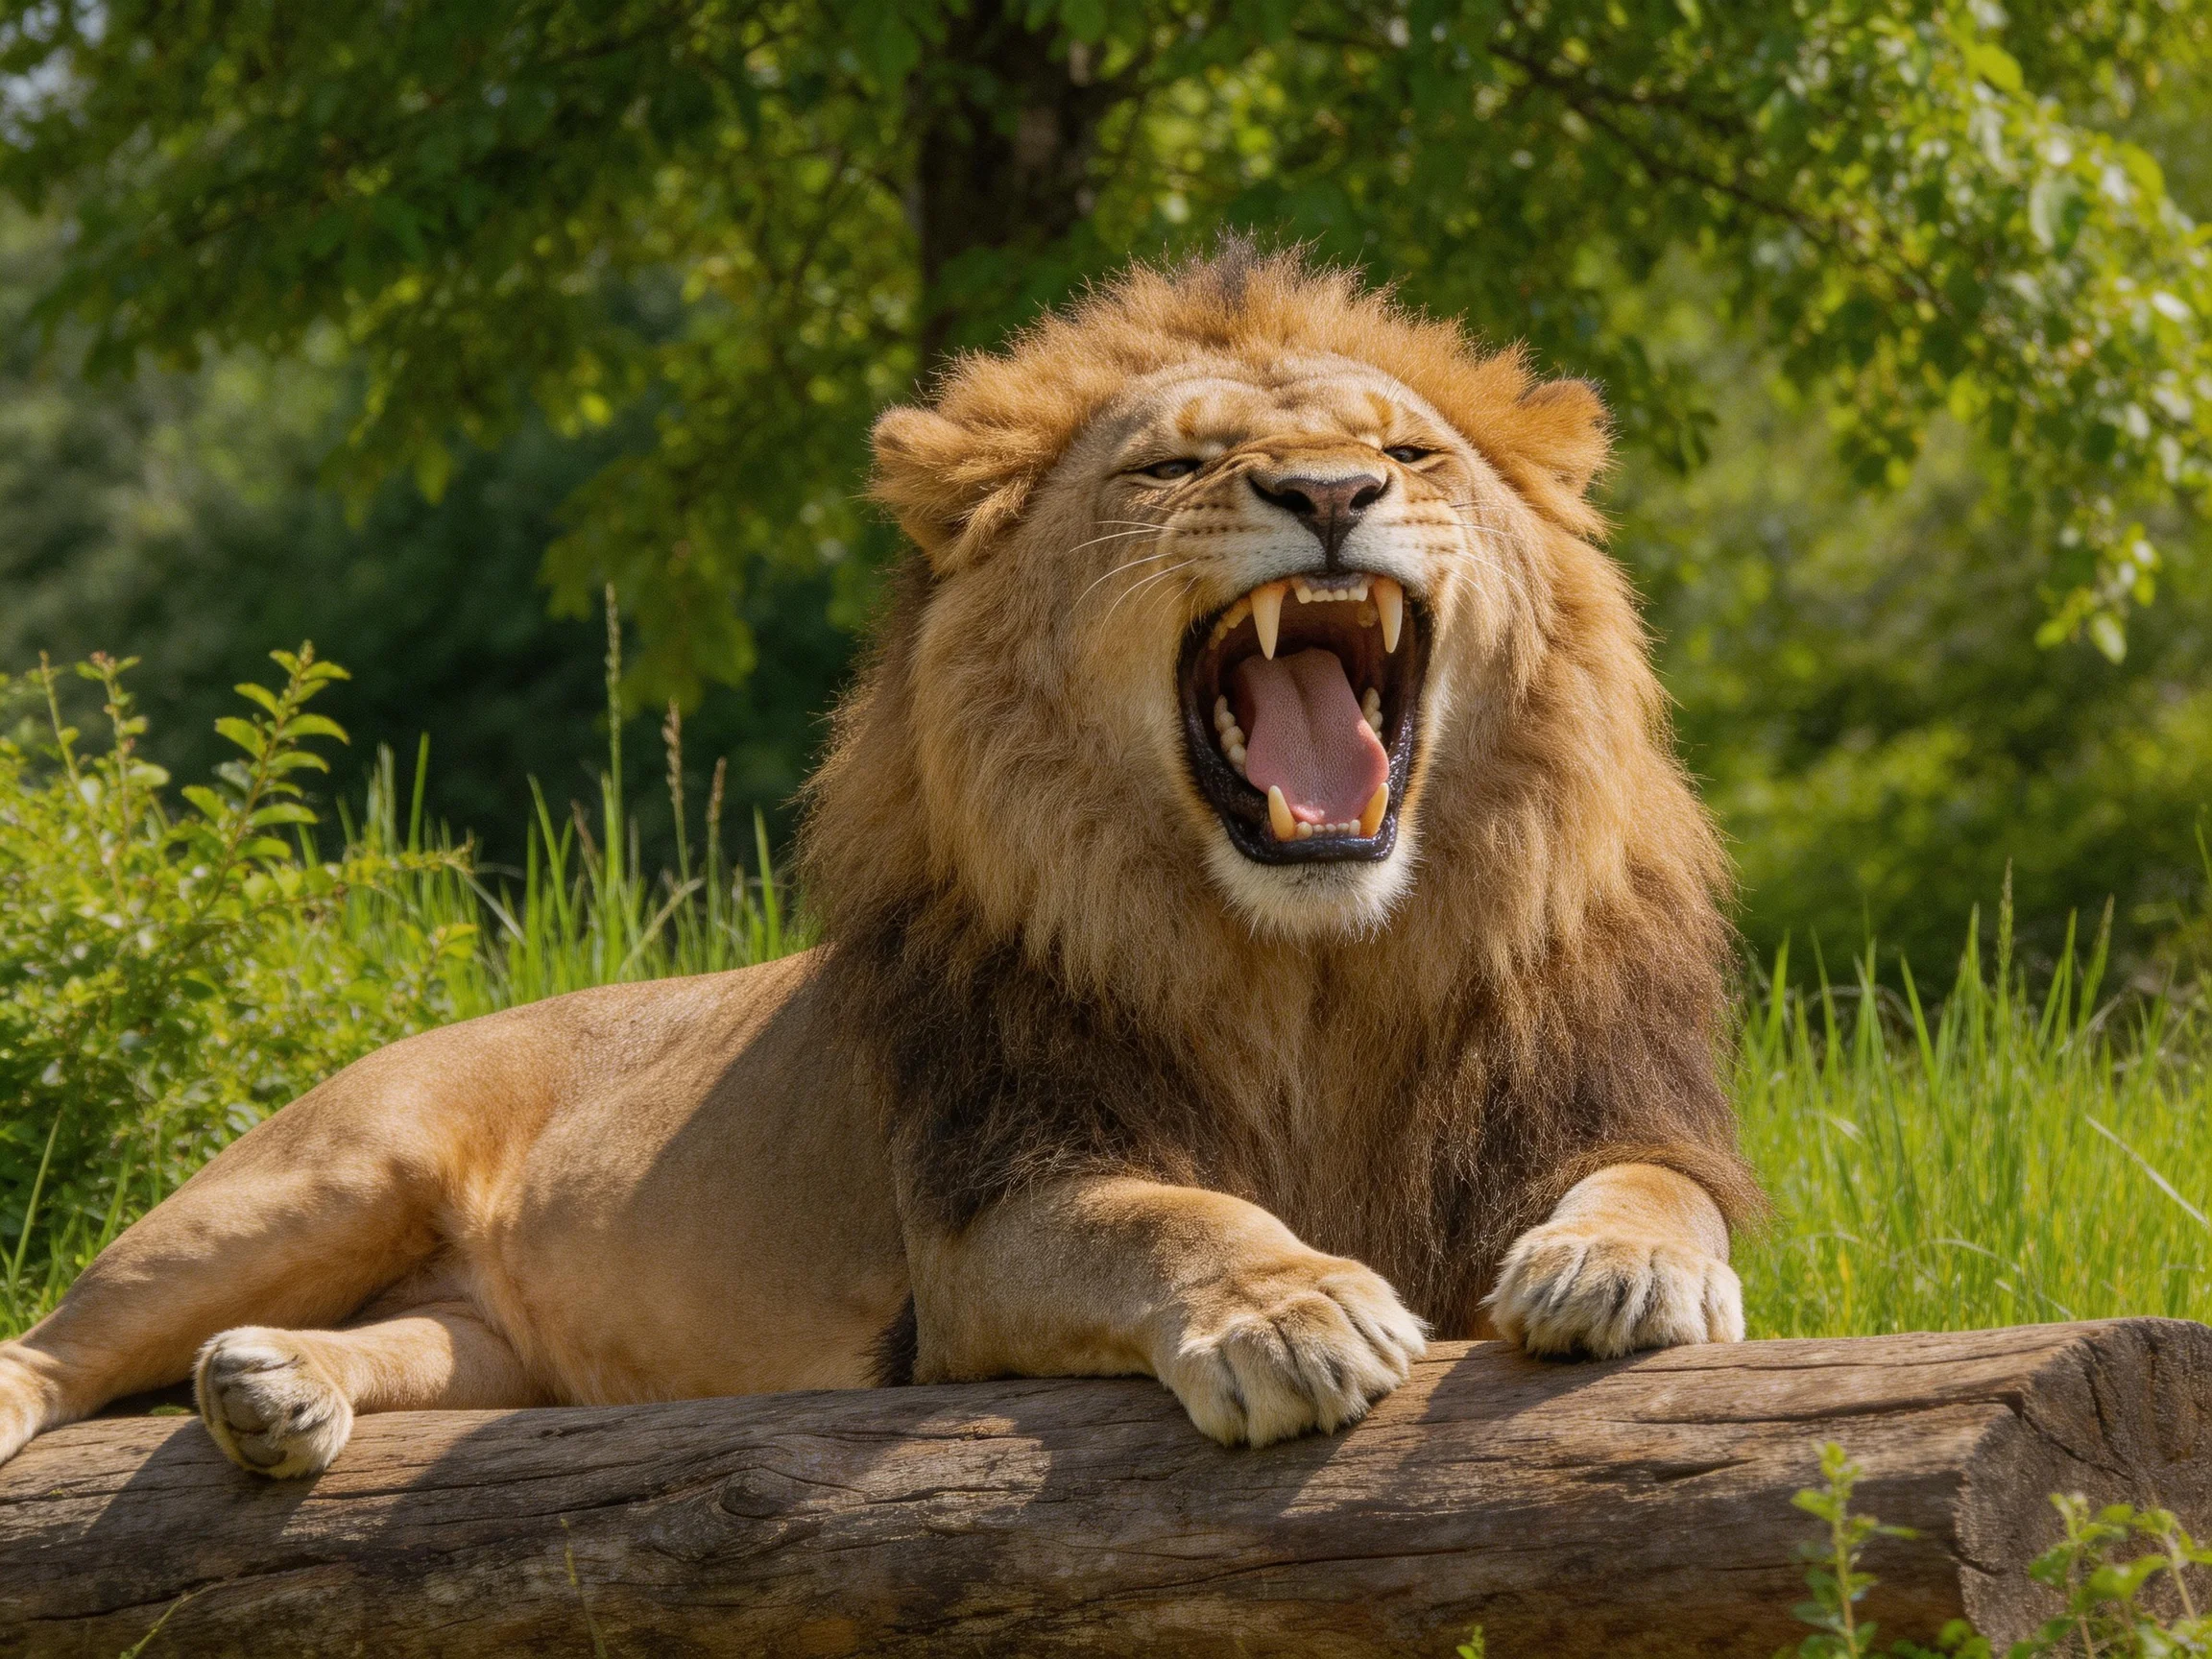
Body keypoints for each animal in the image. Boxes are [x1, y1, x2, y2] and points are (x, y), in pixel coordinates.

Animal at [0, 245, 1756, 1479]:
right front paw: (1296, 1309)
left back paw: (277, 1387)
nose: (1331, 491)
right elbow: (1167, 1214)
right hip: (318, 1176)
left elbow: (1663, 1185)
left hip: (476, 1344)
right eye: (1167, 467)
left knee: (396, 1351)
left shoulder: (1584, 1104)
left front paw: (1612, 1268)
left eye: (1409, 449)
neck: (1305, 964)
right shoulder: (985, 1222)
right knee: (50, 1340)